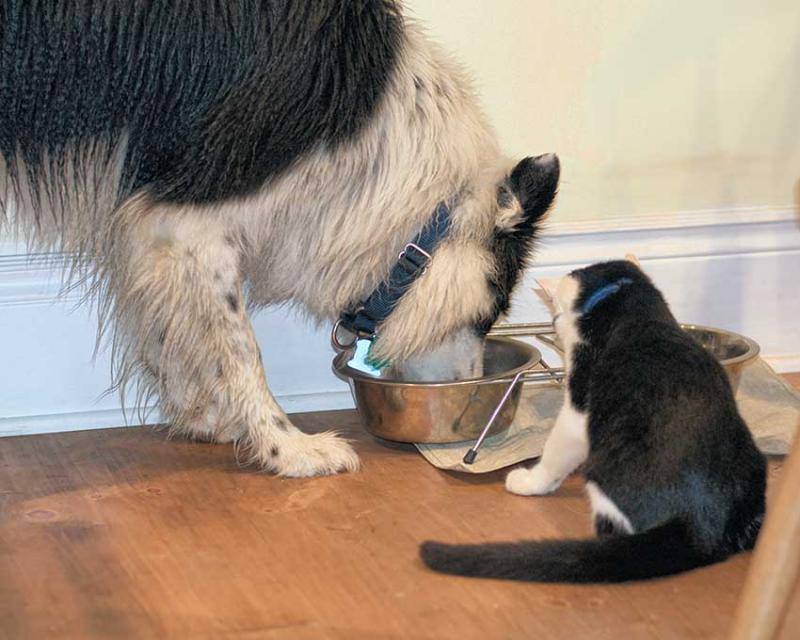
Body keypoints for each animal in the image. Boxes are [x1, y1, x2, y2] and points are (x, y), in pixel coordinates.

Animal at [0, 2, 560, 476]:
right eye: (491, 312)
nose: (470, 384)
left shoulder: (144, 221)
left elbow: (167, 326)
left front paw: (201, 415)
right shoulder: (189, 222)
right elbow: (240, 348)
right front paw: (286, 447)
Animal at [422, 262, 764, 584]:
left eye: (556, 314)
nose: (555, 327)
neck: (633, 308)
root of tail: (703, 527)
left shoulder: (579, 403)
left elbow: (559, 447)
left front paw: (532, 481)